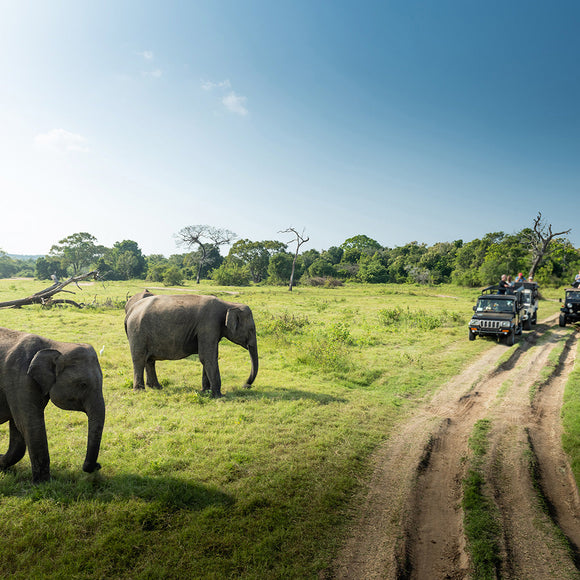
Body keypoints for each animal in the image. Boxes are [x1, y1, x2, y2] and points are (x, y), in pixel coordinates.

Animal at [0, 328, 105, 482]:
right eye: (83, 384)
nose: (98, 465)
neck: (54, 344)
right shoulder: (19, 379)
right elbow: (29, 424)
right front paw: (43, 483)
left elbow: (18, 428)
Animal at [125, 290, 260, 398]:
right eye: (251, 329)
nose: (245, 385)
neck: (228, 304)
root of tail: (130, 310)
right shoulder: (209, 325)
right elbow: (207, 357)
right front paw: (218, 396)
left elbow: (209, 357)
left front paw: (205, 391)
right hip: (137, 331)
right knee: (139, 359)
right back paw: (140, 391)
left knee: (149, 360)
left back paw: (156, 387)